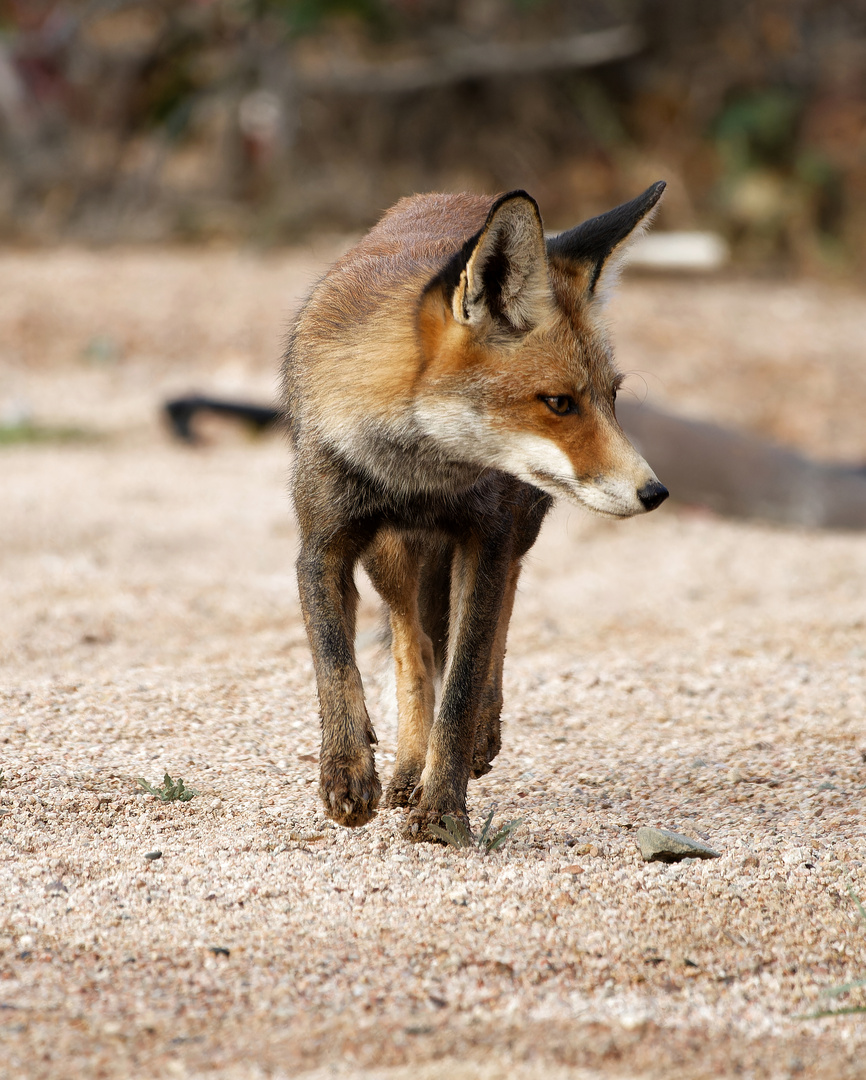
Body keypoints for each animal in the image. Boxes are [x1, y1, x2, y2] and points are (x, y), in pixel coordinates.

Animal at [280, 183, 669, 842]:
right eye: (558, 403)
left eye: (611, 398)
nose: (655, 491)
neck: (419, 478)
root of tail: (456, 194)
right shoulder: (323, 543)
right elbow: (336, 663)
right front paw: (348, 773)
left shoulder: (483, 538)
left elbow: (462, 683)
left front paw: (442, 810)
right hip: (392, 556)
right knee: (411, 646)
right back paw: (406, 768)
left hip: (515, 528)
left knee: (495, 625)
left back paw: (477, 736)